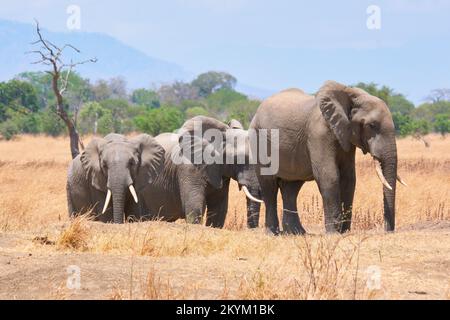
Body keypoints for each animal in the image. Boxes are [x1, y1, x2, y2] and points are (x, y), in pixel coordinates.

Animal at [251, 80, 406, 235]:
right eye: (372, 125)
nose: (388, 231)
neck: (350, 95)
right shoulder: (318, 133)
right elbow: (329, 176)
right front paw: (333, 233)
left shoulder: (346, 136)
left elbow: (349, 178)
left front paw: (344, 232)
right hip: (258, 139)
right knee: (269, 186)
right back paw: (273, 233)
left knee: (291, 188)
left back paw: (297, 232)